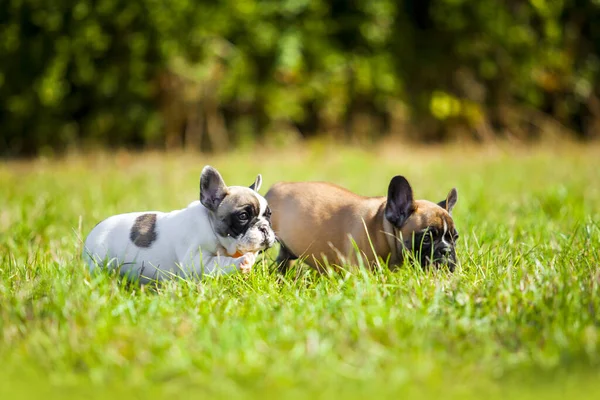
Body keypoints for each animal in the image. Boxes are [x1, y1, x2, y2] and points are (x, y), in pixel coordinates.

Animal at [84, 164, 276, 282]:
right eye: (243, 216)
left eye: (269, 215)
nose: (264, 228)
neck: (211, 228)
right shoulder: (194, 261)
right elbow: (218, 262)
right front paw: (243, 261)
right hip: (100, 258)